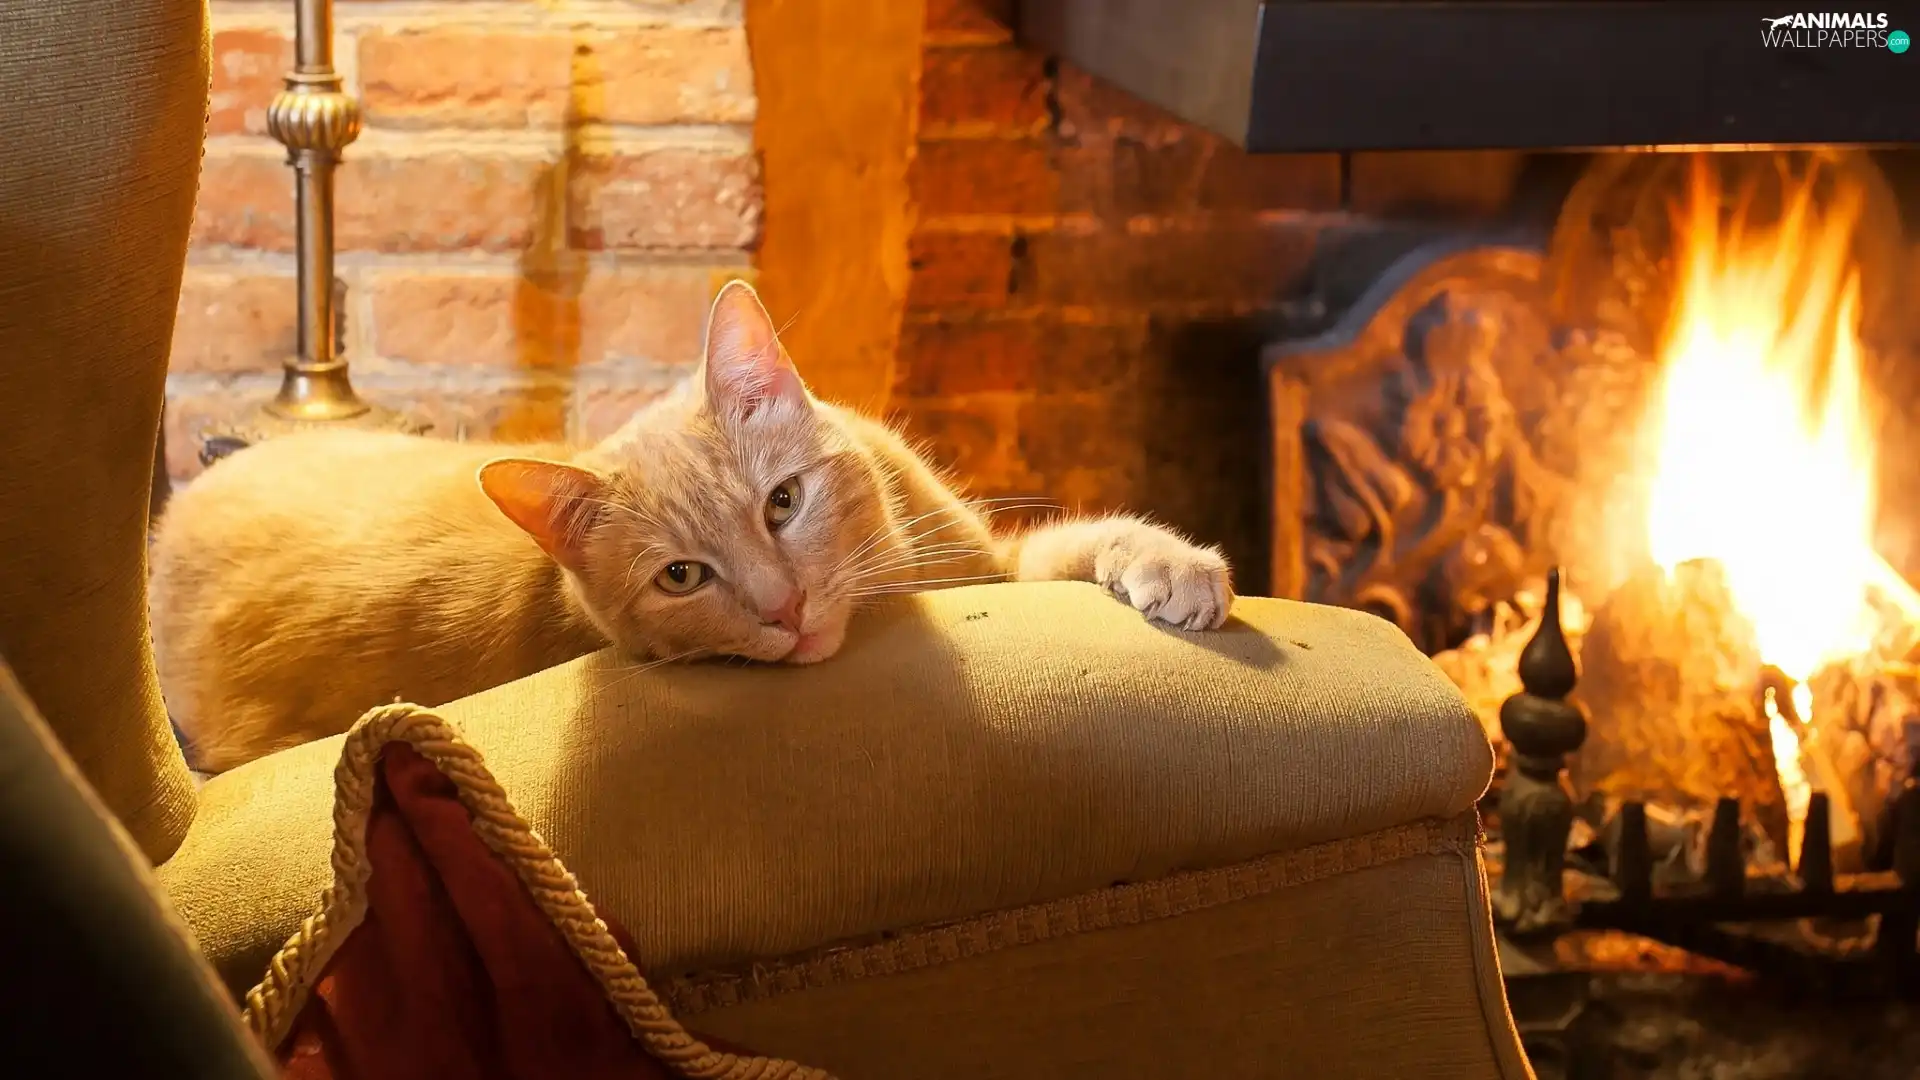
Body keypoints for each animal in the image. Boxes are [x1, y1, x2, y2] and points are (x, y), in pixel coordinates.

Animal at [145, 282, 1228, 768]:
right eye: (681, 578)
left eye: (782, 503)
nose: (785, 608)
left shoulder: (994, 564)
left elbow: (1075, 541)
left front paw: (1170, 564)